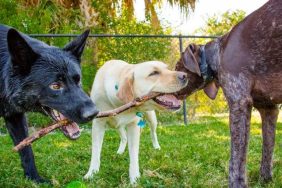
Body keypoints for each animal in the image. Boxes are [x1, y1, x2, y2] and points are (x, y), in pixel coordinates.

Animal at [0, 24, 99, 183]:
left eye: (78, 79)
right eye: (55, 86)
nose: (94, 113)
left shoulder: (15, 116)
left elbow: (26, 149)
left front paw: (34, 178)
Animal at [174, 0, 282, 187]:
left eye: (177, 67)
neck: (217, 54)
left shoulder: (239, 103)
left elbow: (236, 160)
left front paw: (236, 184)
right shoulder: (269, 109)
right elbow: (267, 150)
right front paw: (265, 180)